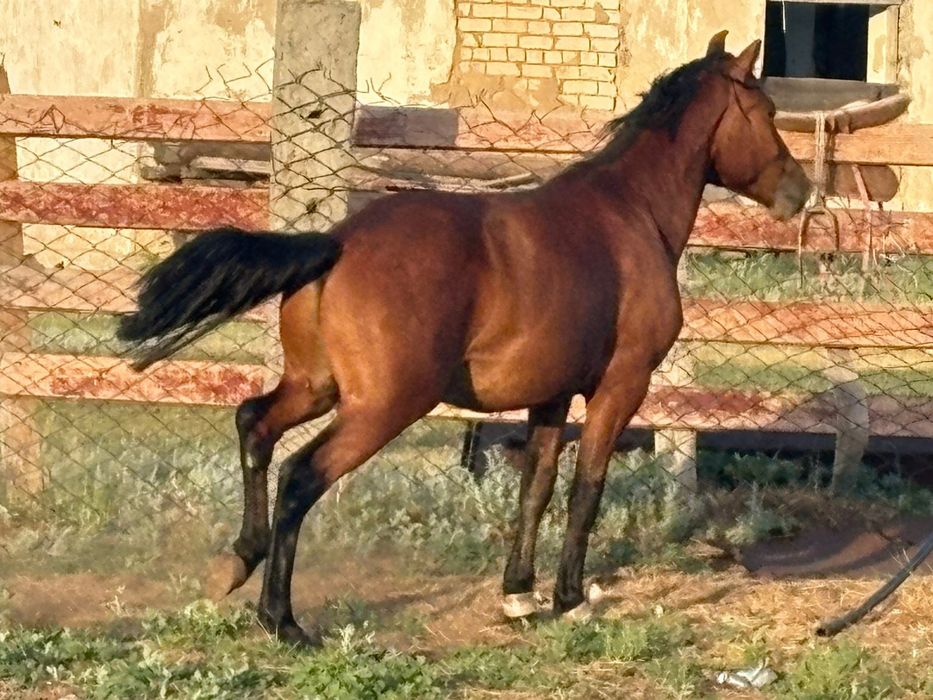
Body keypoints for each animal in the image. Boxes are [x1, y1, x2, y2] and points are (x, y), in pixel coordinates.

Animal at [118, 32, 811, 645]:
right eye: (767, 112)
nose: (800, 192)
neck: (629, 214)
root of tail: (336, 243)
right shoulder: (620, 388)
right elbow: (586, 489)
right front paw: (569, 599)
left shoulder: (551, 396)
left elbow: (536, 487)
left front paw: (519, 595)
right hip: (382, 407)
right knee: (300, 475)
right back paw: (282, 621)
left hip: (315, 387)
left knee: (254, 426)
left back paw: (239, 560)